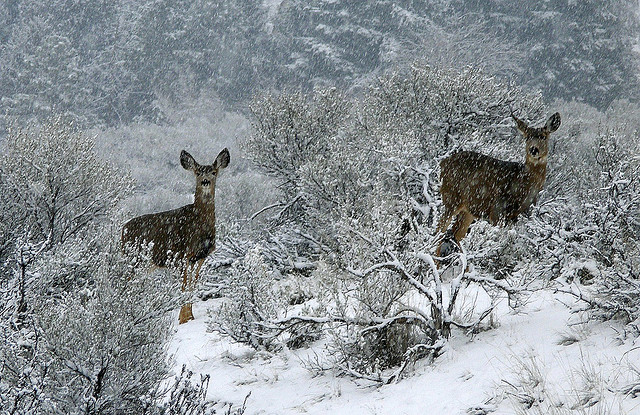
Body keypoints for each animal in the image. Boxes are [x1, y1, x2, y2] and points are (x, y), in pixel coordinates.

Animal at [122, 148, 230, 324]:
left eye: (214, 172)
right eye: (198, 172)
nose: (205, 181)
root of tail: (122, 230)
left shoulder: (200, 257)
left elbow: (192, 286)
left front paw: (190, 317)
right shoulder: (182, 255)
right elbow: (184, 287)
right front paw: (183, 319)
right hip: (133, 259)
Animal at [436, 112, 561, 259]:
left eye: (543, 136)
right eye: (527, 137)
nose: (533, 149)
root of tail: (443, 163)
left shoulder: (516, 216)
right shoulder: (497, 209)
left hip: (468, 209)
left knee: (457, 233)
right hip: (451, 198)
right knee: (440, 230)